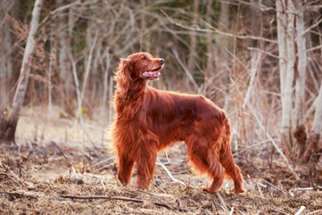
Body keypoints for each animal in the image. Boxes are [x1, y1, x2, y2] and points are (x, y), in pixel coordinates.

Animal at [112, 52, 244, 193]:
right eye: (143, 58)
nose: (162, 60)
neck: (134, 98)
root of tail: (221, 111)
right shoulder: (125, 139)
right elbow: (123, 169)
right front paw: (122, 185)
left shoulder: (145, 142)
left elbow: (143, 169)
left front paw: (141, 188)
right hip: (218, 148)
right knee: (234, 168)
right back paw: (238, 190)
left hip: (202, 146)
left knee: (219, 169)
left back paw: (212, 189)